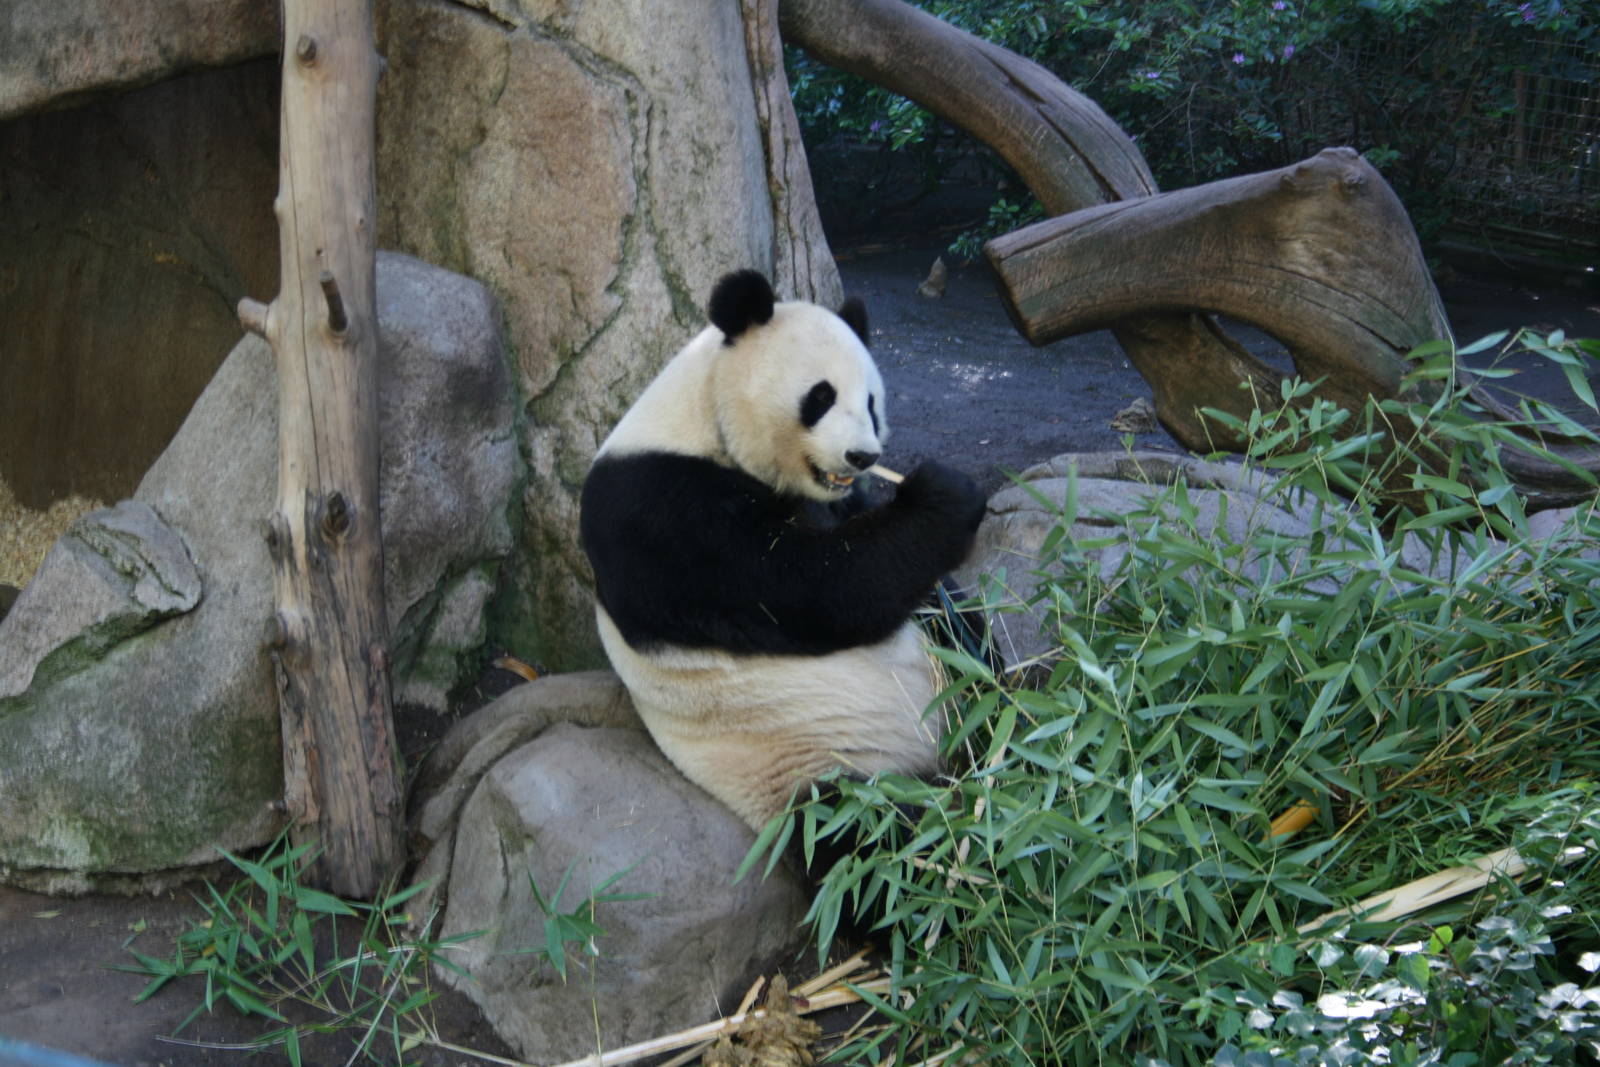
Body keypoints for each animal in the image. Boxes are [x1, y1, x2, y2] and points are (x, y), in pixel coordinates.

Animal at [579, 269, 987, 831]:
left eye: (871, 401)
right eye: (821, 396)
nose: (864, 456)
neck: (704, 415)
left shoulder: (836, 502)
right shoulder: (656, 512)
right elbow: (813, 589)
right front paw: (947, 497)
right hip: (810, 768)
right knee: (863, 831)